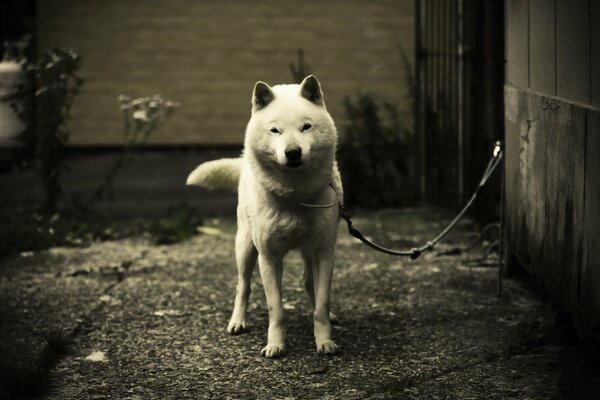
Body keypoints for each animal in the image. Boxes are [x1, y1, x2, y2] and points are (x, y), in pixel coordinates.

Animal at [186, 76, 342, 358]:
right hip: (245, 248)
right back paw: (237, 321)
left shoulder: (325, 252)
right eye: (275, 130)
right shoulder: (268, 257)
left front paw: (324, 339)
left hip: (307, 252)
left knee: (308, 283)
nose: (293, 152)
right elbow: (275, 309)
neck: (295, 196)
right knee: (243, 286)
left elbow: (322, 303)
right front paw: (275, 344)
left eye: (306, 127)